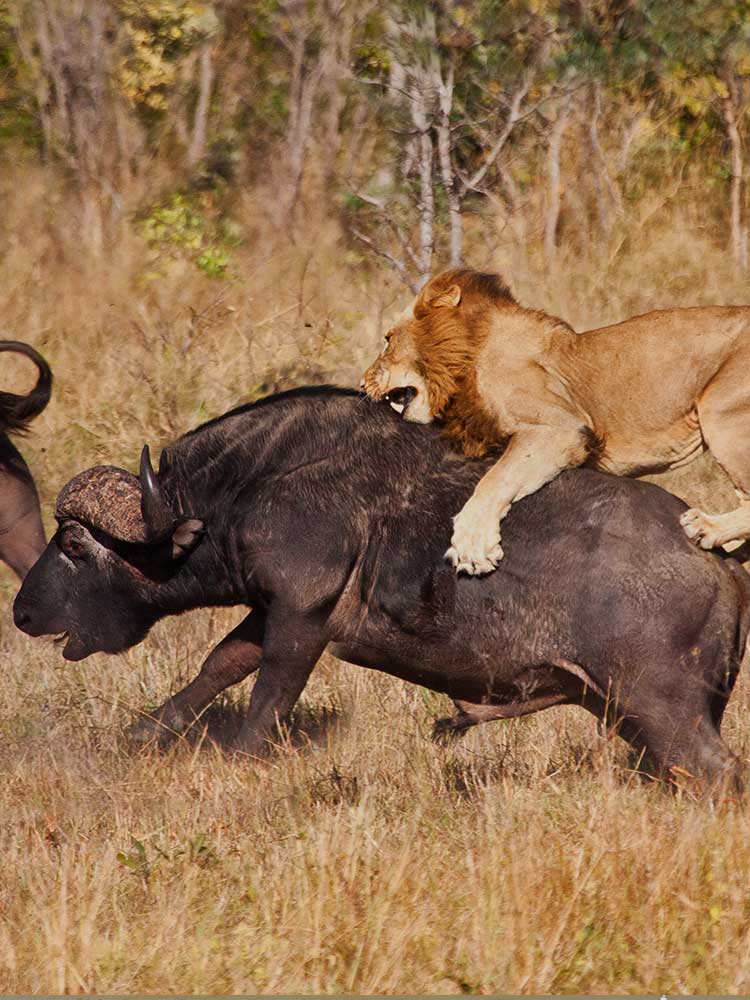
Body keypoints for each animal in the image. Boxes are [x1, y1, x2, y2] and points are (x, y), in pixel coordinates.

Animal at [13, 386, 750, 791]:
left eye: (74, 545)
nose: (20, 611)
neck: (253, 484)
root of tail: (720, 561)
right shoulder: (267, 611)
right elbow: (218, 664)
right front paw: (143, 734)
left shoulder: (300, 619)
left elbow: (266, 702)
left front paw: (241, 759)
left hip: (664, 710)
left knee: (717, 773)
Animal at [361, 267, 750, 575]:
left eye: (388, 340)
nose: (362, 383)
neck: (466, 358)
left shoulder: (560, 428)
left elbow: (495, 479)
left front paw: (472, 545)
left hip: (720, 411)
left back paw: (706, 528)